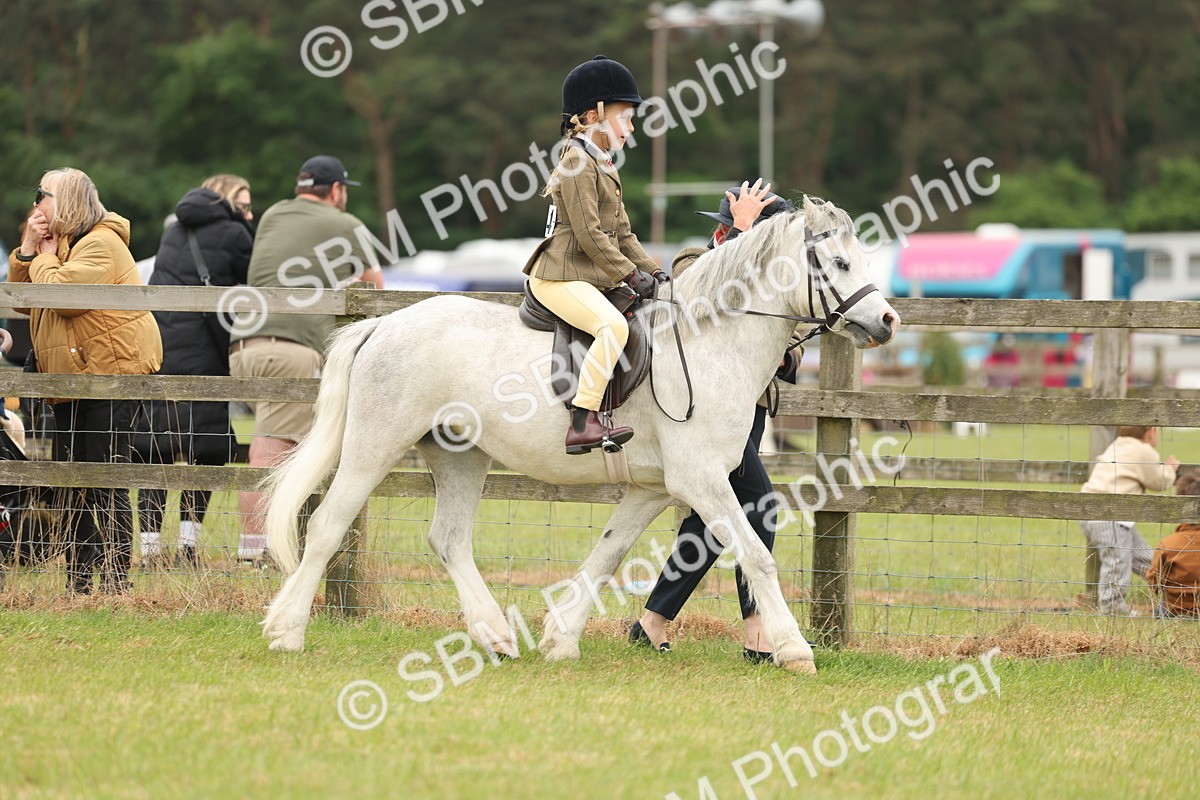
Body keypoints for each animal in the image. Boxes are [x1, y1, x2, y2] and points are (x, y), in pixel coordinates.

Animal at [261, 195, 900, 673]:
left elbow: (607, 554)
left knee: (448, 540)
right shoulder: (702, 482)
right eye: (839, 264)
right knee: (327, 524)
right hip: (375, 445)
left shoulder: (653, 488)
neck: (709, 340)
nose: (888, 321)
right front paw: (793, 649)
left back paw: (495, 636)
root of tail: (380, 324)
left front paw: (560, 638)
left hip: (461, 456)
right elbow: (756, 555)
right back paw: (287, 631)